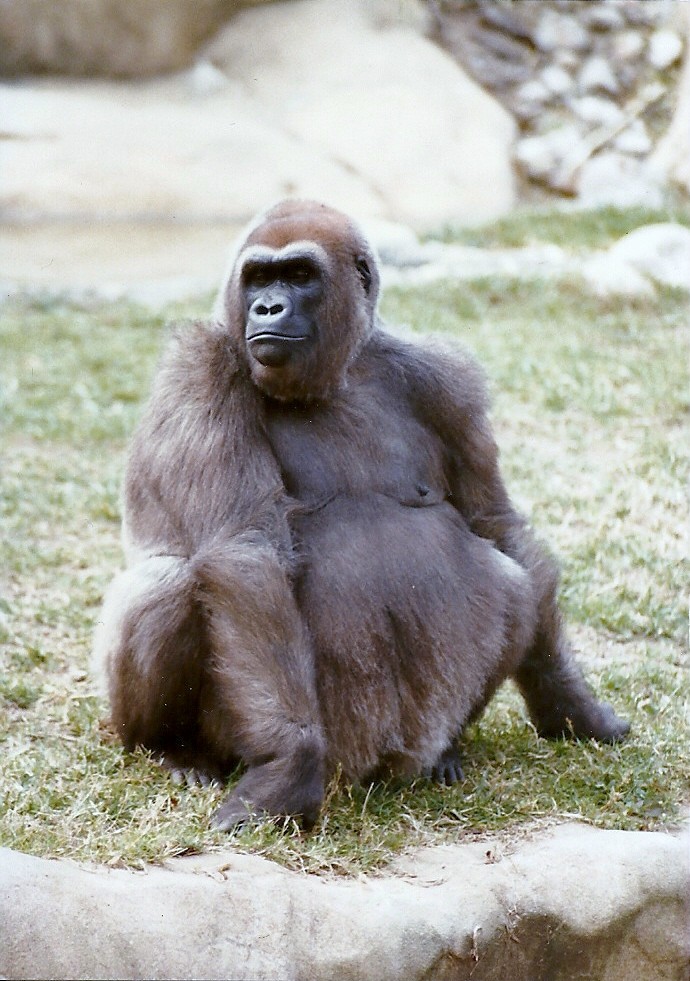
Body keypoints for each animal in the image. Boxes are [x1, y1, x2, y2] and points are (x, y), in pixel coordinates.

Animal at [93, 199, 629, 831]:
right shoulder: (200, 367)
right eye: (258, 277)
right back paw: (174, 750)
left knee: (512, 579)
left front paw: (568, 702)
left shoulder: (448, 380)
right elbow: (247, 551)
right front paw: (288, 768)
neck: (341, 371)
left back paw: (445, 752)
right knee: (170, 581)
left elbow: (495, 523)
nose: (267, 307)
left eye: (300, 275)